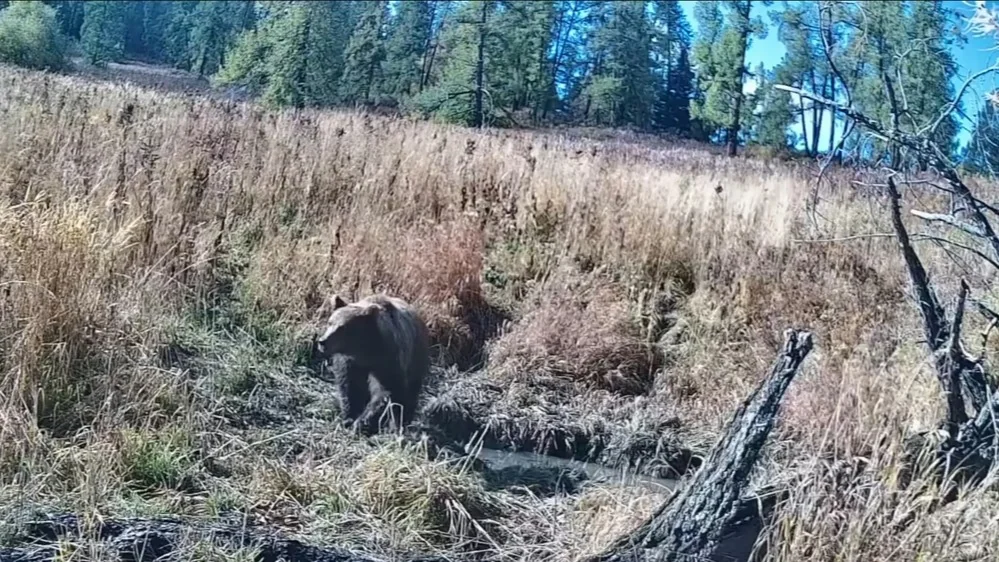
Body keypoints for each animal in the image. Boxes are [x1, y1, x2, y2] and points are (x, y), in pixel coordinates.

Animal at [311, 293, 431, 434]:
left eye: (342, 327)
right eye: (330, 322)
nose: (322, 341)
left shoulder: (388, 360)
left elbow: (385, 391)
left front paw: (361, 422)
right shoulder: (348, 362)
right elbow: (349, 388)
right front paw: (349, 418)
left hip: (415, 358)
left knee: (408, 394)